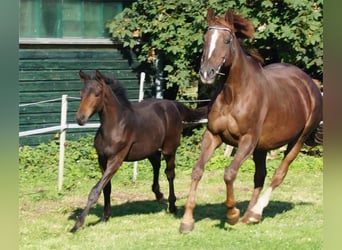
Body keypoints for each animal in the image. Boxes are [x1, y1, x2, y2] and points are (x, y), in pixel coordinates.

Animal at [71, 69, 207, 231]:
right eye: (80, 93)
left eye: (97, 94)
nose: (80, 118)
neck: (114, 126)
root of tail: (172, 104)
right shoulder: (102, 159)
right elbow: (106, 187)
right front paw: (105, 217)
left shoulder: (116, 159)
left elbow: (95, 190)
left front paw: (77, 224)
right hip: (149, 149)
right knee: (156, 162)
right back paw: (158, 194)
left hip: (169, 148)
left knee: (170, 173)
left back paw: (172, 205)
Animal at [180, 8, 322, 234]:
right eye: (205, 38)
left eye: (227, 40)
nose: (206, 73)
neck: (233, 95)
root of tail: (311, 84)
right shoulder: (213, 136)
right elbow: (197, 170)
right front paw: (187, 221)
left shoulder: (247, 141)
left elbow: (229, 173)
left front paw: (231, 214)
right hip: (263, 147)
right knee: (260, 176)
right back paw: (248, 215)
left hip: (297, 141)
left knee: (279, 174)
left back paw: (255, 212)